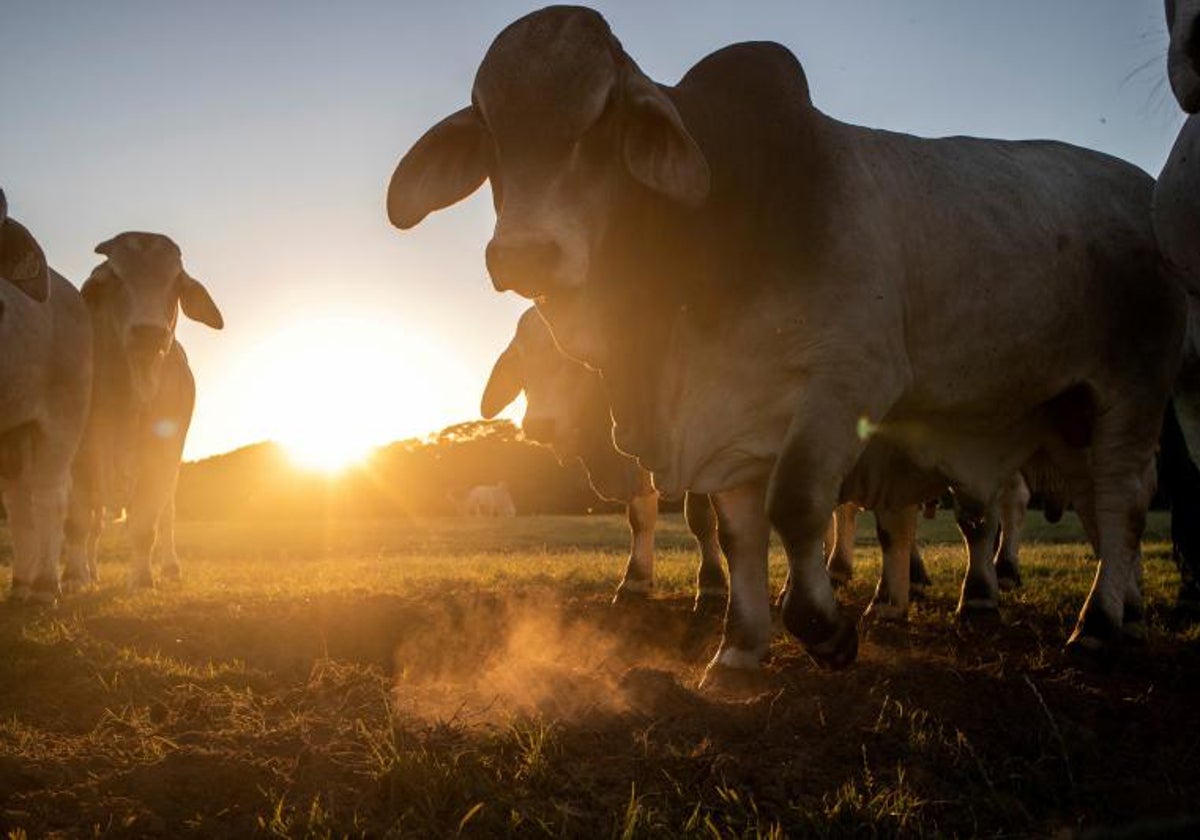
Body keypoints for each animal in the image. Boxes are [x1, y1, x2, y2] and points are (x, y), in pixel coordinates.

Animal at [62, 231, 223, 590]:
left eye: (175, 280)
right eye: (116, 277)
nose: (149, 332)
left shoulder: (163, 452)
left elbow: (145, 522)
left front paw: (142, 577)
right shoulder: (79, 452)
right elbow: (79, 522)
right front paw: (76, 576)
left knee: (167, 516)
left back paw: (170, 567)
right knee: (94, 524)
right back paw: (91, 571)